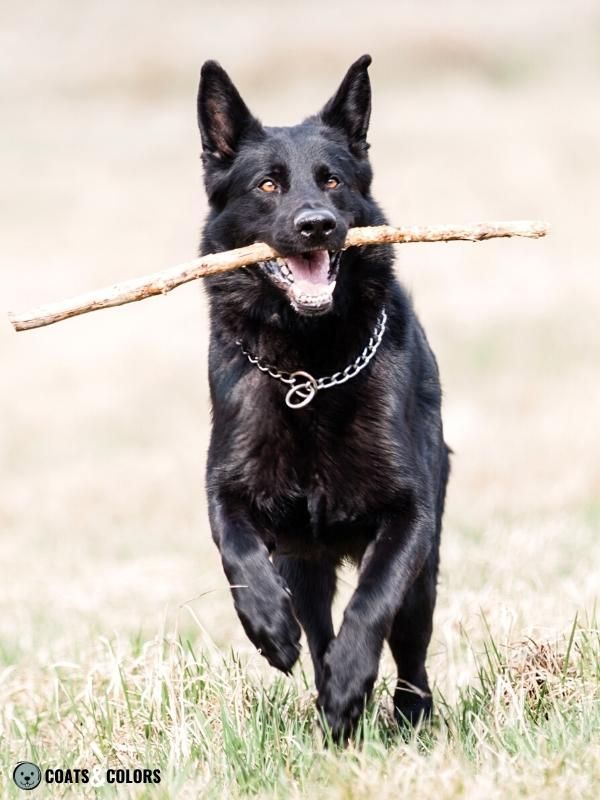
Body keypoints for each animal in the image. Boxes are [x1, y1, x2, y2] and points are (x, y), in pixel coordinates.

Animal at [198, 54, 450, 736]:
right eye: (267, 186)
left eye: (332, 181)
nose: (318, 225)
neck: (310, 370)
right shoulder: (228, 490)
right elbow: (236, 553)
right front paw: (267, 626)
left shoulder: (409, 515)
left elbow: (372, 602)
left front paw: (349, 685)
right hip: (304, 563)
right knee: (315, 630)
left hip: (424, 570)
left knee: (409, 642)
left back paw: (403, 711)